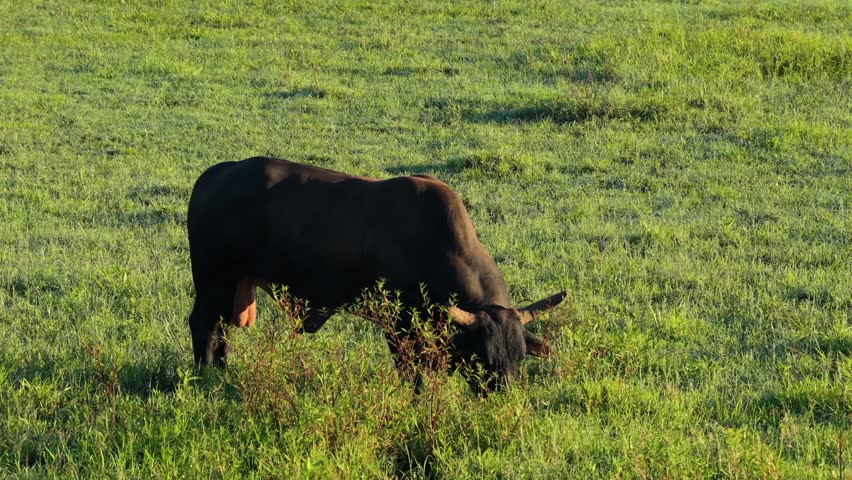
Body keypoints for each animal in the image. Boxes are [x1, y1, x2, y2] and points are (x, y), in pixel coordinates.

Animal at [187, 156, 565, 392]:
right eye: (482, 359)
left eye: (519, 357)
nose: (504, 399)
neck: (434, 243)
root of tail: (216, 175)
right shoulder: (398, 328)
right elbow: (413, 377)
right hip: (212, 281)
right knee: (204, 326)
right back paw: (206, 376)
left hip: (231, 287)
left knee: (221, 331)